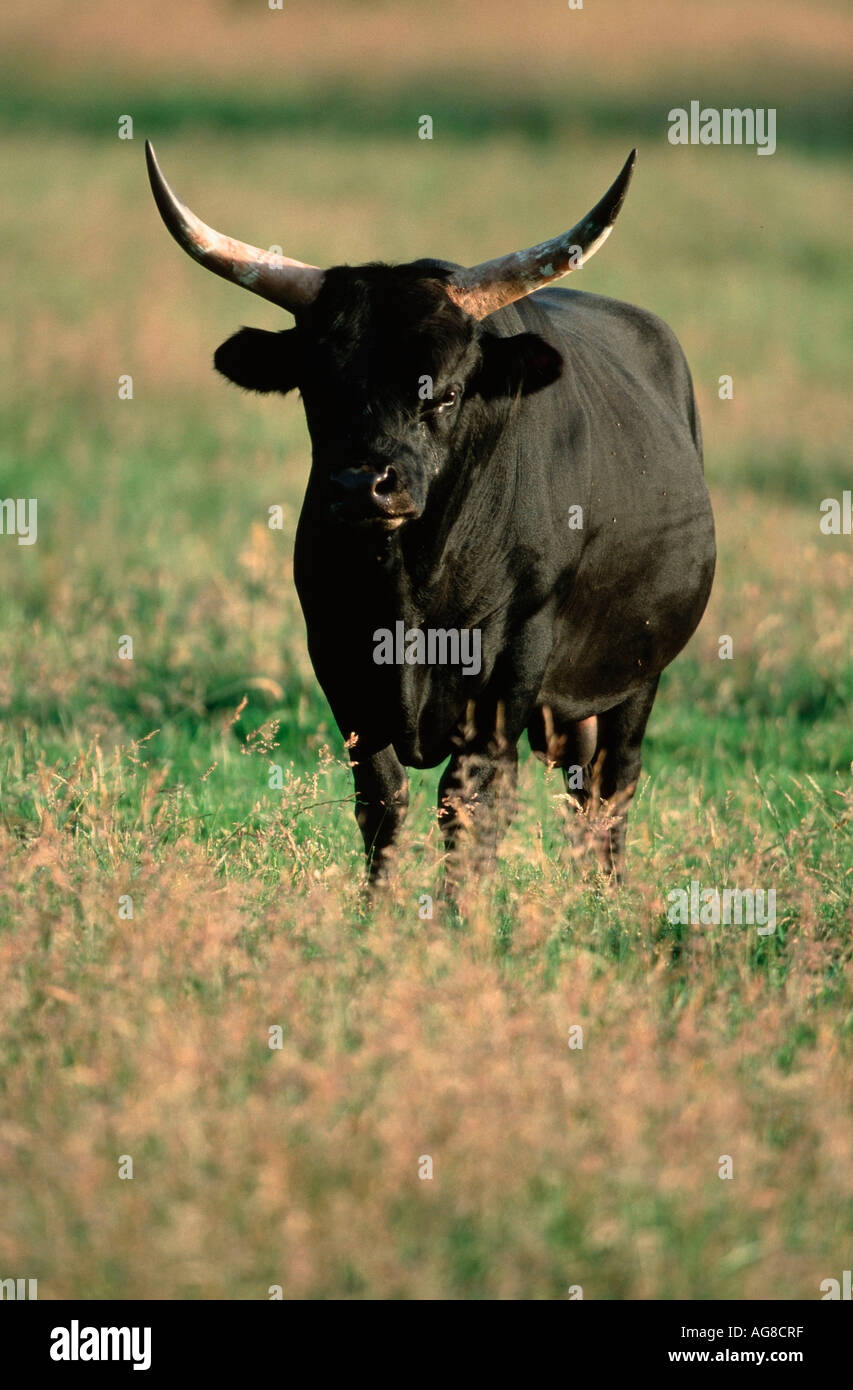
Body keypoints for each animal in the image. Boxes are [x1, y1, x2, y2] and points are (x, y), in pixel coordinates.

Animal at [148, 146, 722, 884]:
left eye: (445, 395)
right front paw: (379, 907)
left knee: (611, 785)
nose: (364, 486)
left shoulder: (511, 664)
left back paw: (607, 893)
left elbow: (470, 801)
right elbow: (381, 798)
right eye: (315, 388)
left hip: (638, 674)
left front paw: (456, 911)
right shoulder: (337, 658)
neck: (410, 586)